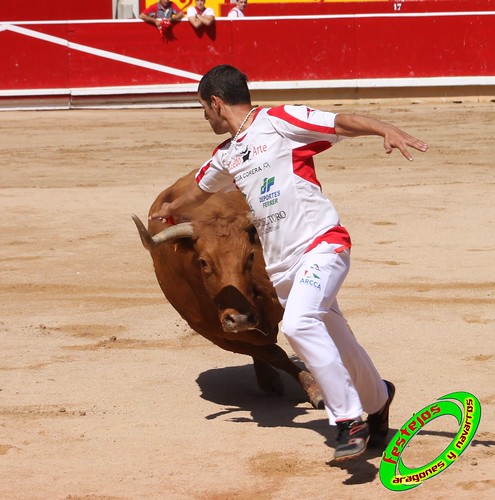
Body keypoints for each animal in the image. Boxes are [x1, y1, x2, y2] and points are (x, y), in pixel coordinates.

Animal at [134, 170, 324, 408]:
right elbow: (273, 353)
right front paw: (309, 386)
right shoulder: (216, 334)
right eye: (203, 262)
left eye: (250, 255)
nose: (240, 319)